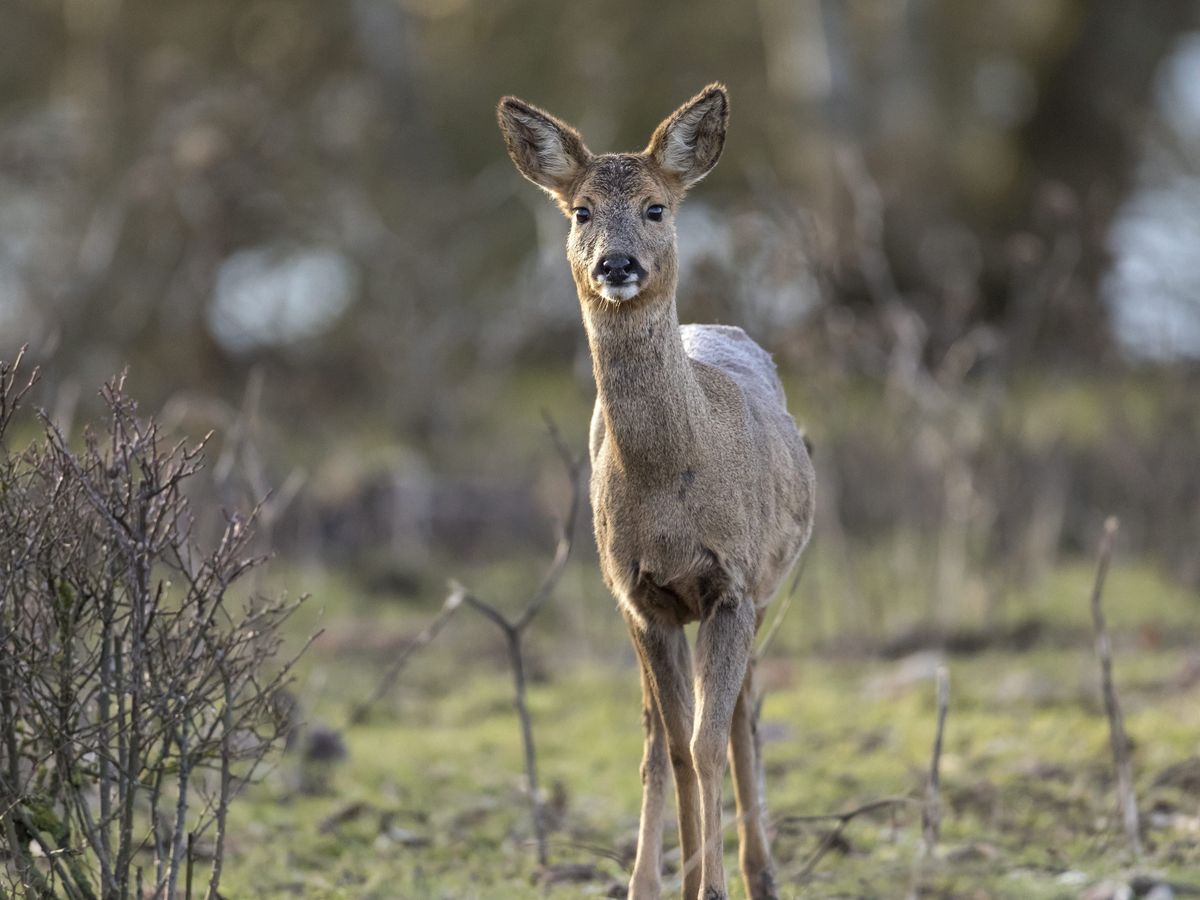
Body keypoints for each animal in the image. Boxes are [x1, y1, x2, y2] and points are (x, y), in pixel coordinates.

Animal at [496, 84, 816, 900]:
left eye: (656, 207)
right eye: (580, 210)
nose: (617, 264)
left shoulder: (731, 584)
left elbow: (705, 743)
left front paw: (714, 888)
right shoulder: (640, 597)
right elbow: (672, 747)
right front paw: (677, 883)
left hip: (763, 588)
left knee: (739, 721)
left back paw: (761, 874)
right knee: (661, 735)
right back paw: (652, 878)